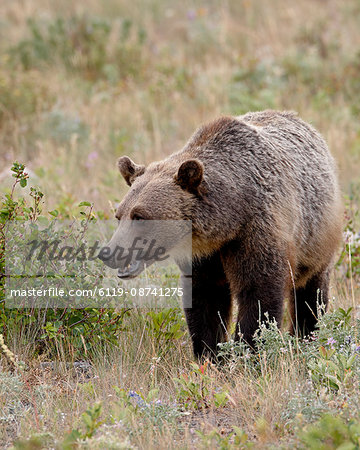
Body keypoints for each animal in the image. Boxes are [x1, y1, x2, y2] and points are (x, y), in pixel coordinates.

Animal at [99, 110, 344, 360]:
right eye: (119, 215)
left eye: (140, 216)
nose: (109, 253)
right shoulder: (202, 256)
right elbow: (205, 301)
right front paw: (210, 354)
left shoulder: (257, 230)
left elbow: (258, 293)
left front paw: (248, 350)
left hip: (316, 234)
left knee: (311, 290)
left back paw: (306, 336)